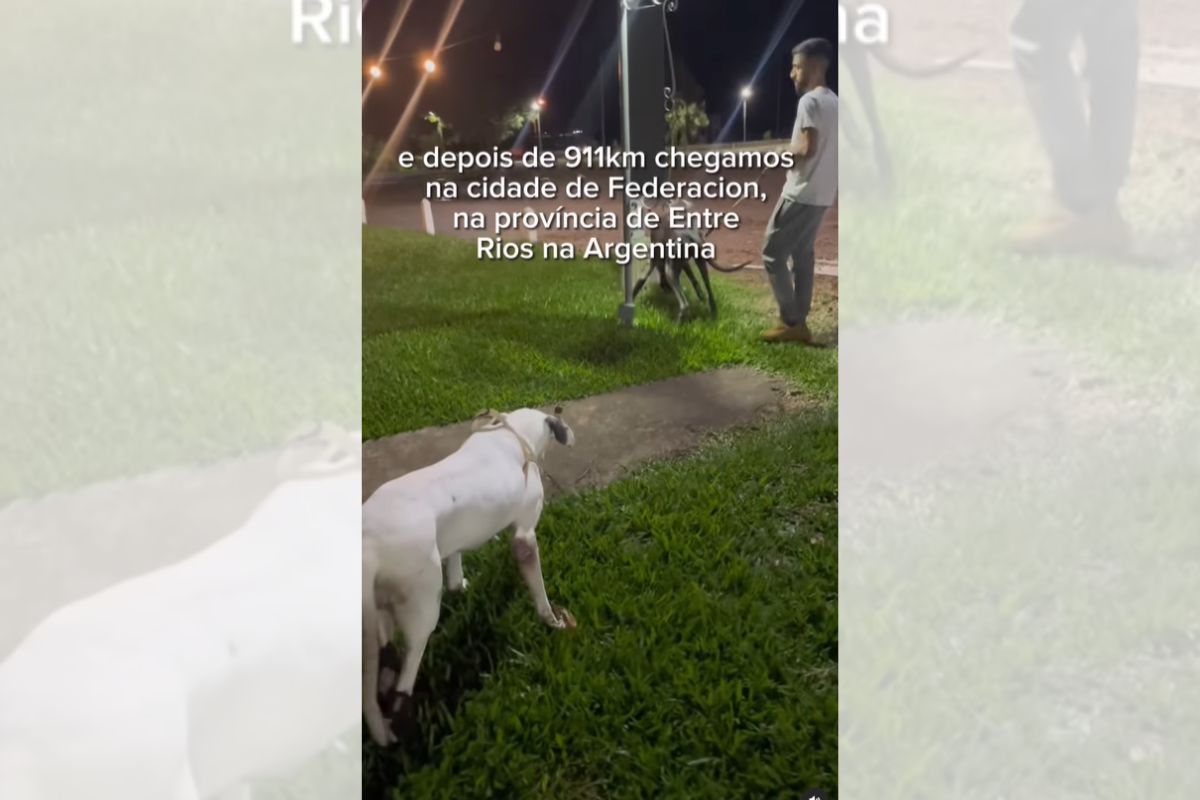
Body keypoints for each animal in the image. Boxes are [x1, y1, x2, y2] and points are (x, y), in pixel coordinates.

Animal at [360, 410, 576, 748]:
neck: (511, 433)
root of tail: (369, 545)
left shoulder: (456, 535)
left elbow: (456, 559)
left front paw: (459, 583)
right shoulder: (526, 538)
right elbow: (539, 591)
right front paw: (553, 620)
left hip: (375, 616)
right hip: (422, 613)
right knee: (403, 686)